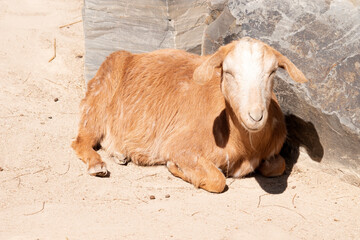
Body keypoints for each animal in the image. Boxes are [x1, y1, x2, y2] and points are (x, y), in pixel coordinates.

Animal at [71, 36, 308, 192]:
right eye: (228, 72)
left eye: (272, 72)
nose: (256, 116)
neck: (244, 145)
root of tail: (132, 56)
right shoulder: (180, 146)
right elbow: (217, 180)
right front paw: (175, 167)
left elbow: (278, 166)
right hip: (100, 95)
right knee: (81, 139)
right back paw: (97, 165)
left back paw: (120, 154)